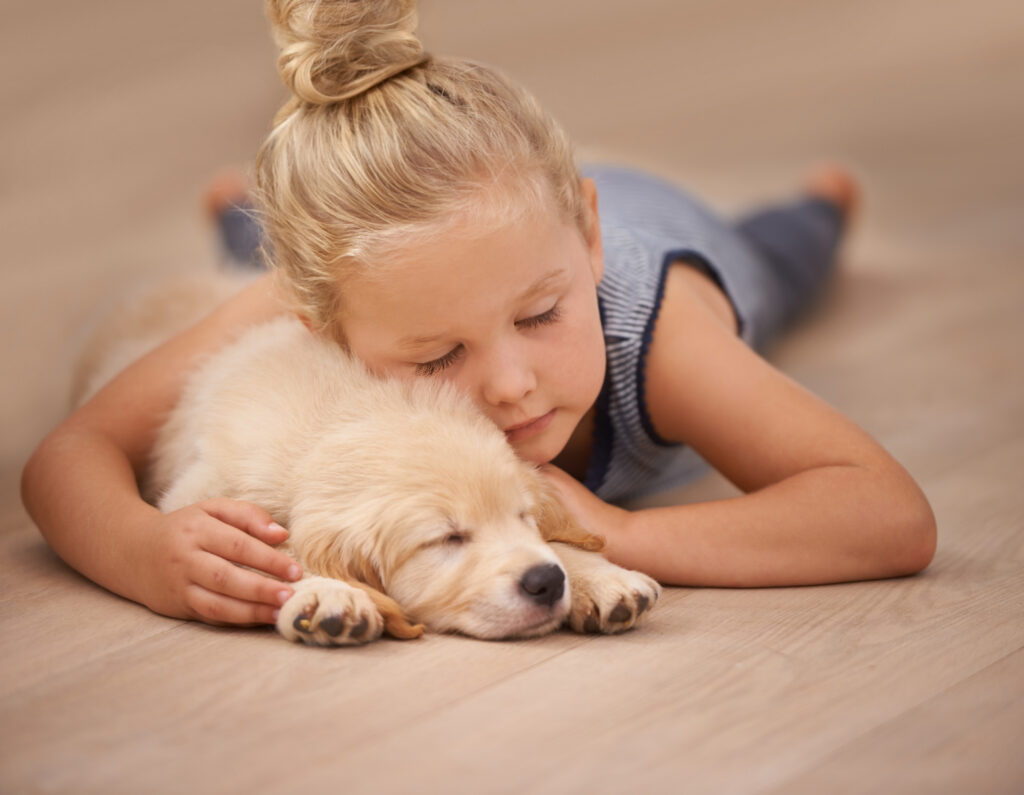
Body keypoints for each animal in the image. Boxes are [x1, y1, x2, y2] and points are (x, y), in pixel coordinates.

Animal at [149, 313, 663, 643]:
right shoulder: (203, 496)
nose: (548, 583)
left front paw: (598, 578)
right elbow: (273, 550)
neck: (332, 418)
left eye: (524, 517)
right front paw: (326, 592)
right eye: (446, 539)